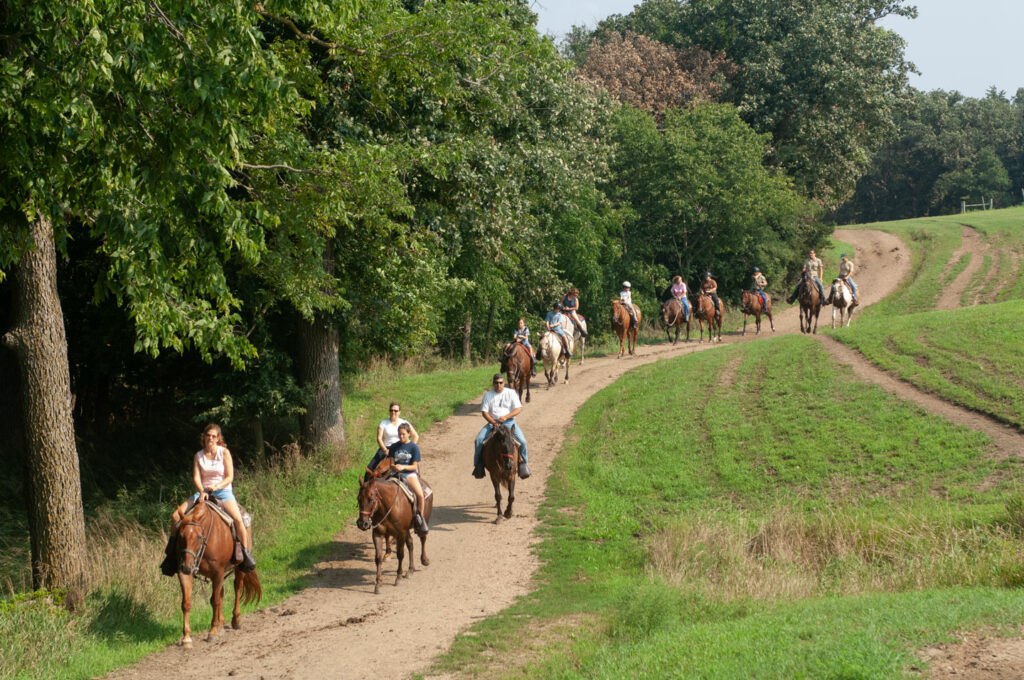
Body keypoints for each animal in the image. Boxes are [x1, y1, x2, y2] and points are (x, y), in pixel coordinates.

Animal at [174, 499, 260, 647]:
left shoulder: (218, 572)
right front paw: (186, 638)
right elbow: (186, 603)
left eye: (199, 536)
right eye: (180, 536)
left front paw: (213, 632)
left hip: (239, 569)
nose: (186, 566)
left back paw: (236, 620)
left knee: (237, 588)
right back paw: (221, 624)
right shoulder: (185, 574)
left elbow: (215, 601)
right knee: (221, 593)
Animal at [356, 456, 432, 593]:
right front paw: (378, 584)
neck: (389, 504)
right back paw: (410, 570)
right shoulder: (378, 533)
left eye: (371, 499)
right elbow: (378, 557)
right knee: (411, 544)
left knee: (423, 538)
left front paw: (398, 578)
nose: (362, 523)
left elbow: (400, 554)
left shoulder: (400, 533)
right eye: (358, 499)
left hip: (423, 521)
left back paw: (424, 560)